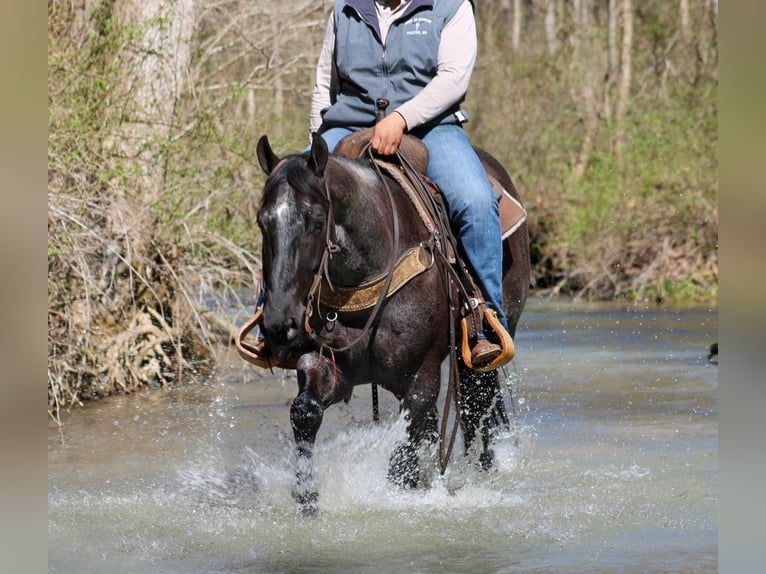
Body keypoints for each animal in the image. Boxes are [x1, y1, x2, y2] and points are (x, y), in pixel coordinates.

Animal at [255, 134, 532, 512]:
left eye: (315, 220)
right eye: (261, 220)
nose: (279, 324)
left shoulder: (421, 378)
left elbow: (404, 454)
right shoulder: (328, 365)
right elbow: (305, 412)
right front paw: (307, 497)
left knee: (478, 405)